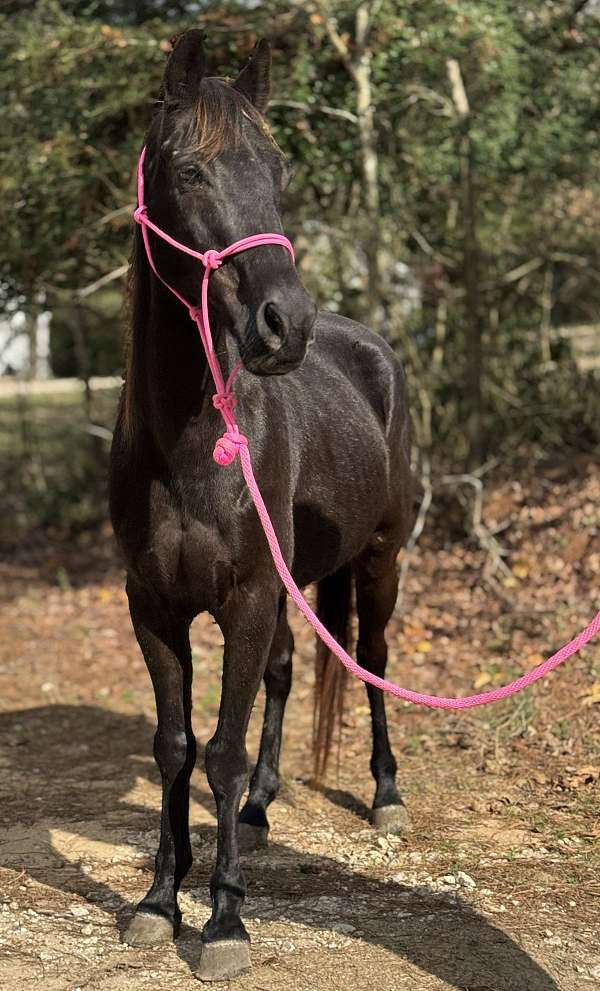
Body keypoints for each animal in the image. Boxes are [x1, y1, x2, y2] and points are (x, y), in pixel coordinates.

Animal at [109, 29, 416, 982]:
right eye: (191, 171)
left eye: (276, 169)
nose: (287, 324)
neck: (189, 448)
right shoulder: (155, 606)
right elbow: (175, 748)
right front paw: (159, 899)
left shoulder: (244, 598)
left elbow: (224, 749)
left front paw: (224, 921)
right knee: (284, 674)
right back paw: (263, 808)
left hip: (381, 560)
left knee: (371, 658)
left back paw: (387, 792)